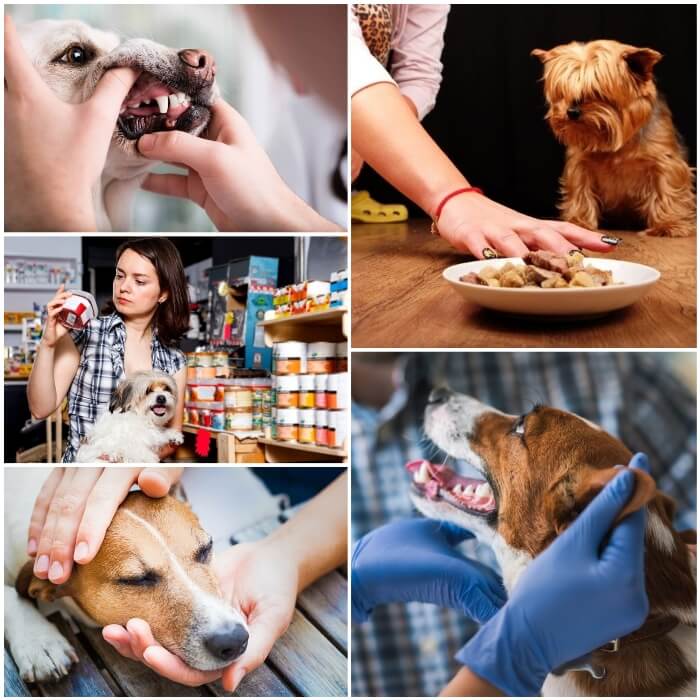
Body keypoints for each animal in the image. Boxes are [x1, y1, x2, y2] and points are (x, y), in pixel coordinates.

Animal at [532, 41, 696, 238]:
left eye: (597, 92)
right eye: (562, 93)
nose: (571, 112)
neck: (619, 143)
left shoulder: (665, 162)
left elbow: (666, 188)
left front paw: (668, 224)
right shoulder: (580, 164)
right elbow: (580, 189)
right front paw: (579, 221)